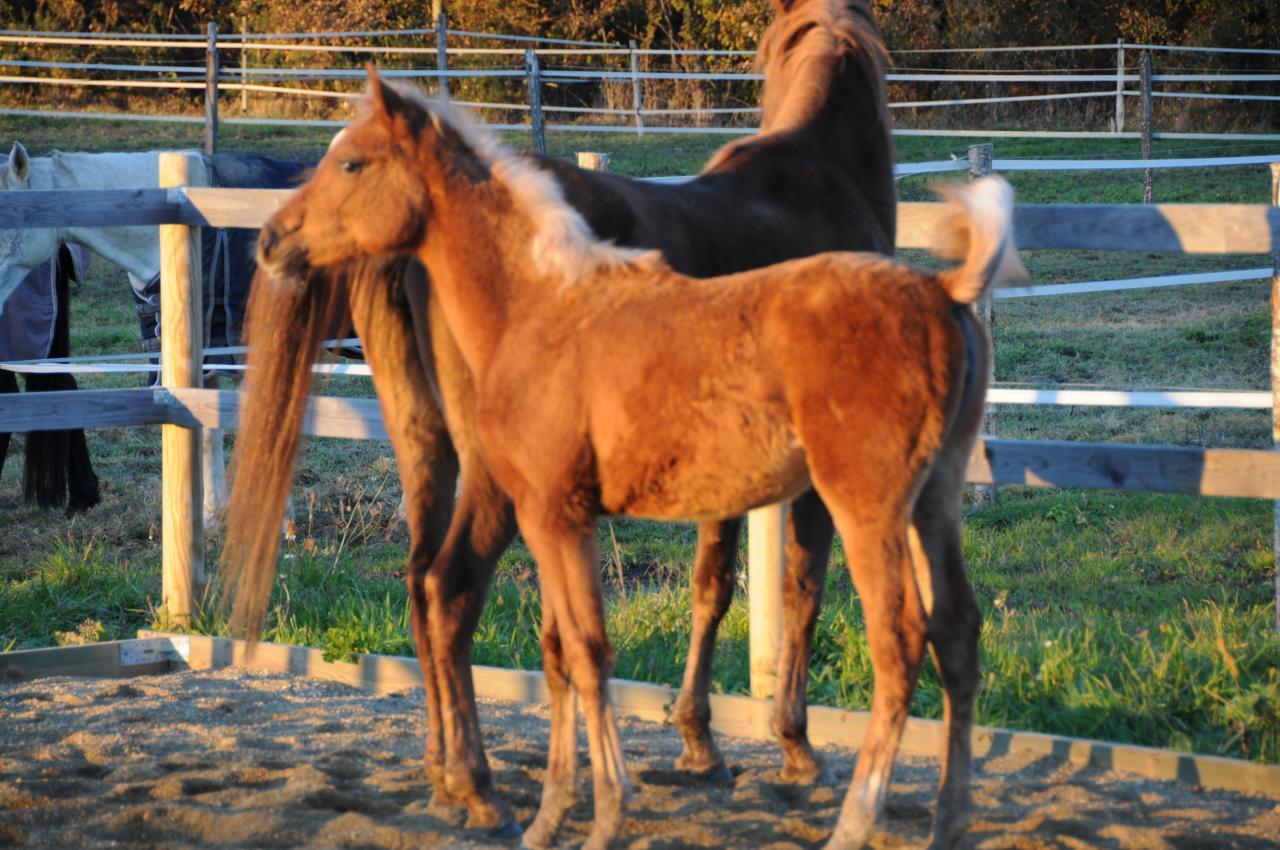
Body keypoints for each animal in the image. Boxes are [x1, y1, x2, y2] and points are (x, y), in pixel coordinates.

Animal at [254, 72, 1024, 850]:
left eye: (352, 163)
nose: (269, 239)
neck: (539, 305)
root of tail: (941, 291)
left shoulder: (557, 514)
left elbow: (588, 651)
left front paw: (603, 814)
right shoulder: (554, 516)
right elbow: (561, 653)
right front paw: (553, 814)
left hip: (866, 507)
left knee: (899, 645)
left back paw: (853, 821)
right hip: (933, 502)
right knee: (957, 635)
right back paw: (948, 821)